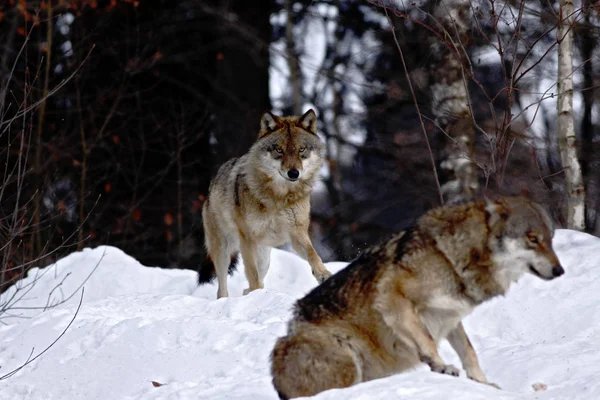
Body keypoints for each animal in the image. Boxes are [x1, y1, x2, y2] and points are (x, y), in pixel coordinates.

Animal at [198, 108, 330, 296]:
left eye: (301, 149)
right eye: (279, 150)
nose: (293, 173)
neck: (279, 196)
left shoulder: (297, 233)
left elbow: (313, 254)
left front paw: (323, 274)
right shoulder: (247, 238)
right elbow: (252, 273)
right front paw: (257, 293)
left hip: (264, 258)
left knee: (252, 280)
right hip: (224, 249)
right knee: (222, 287)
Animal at [270, 195, 564, 398]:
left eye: (550, 239)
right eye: (532, 239)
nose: (560, 270)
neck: (453, 258)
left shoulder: (451, 315)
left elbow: (469, 351)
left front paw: (483, 383)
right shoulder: (393, 298)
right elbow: (427, 340)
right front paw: (441, 366)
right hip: (348, 357)